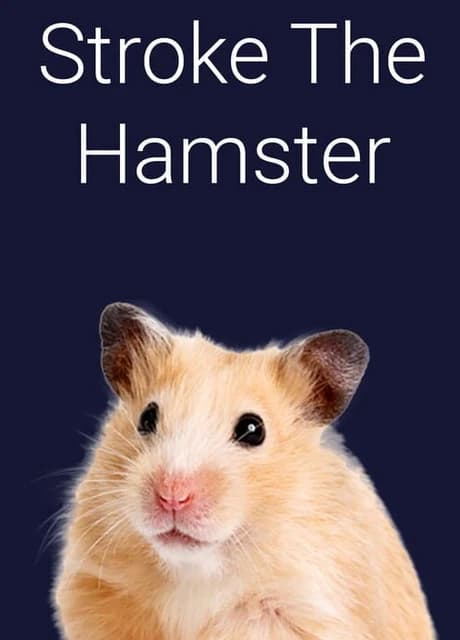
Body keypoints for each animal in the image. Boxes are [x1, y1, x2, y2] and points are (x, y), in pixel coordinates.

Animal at [53, 303, 436, 640]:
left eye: (253, 429)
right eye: (147, 417)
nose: (172, 496)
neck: (196, 572)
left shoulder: (301, 610)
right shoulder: (95, 588)